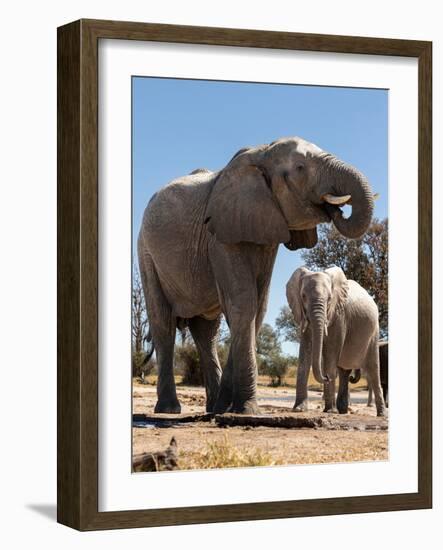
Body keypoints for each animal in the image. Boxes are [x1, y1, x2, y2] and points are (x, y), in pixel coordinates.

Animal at [138, 137, 374, 414]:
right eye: (301, 168)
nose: (336, 210)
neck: (261, 153)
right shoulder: (220, 234)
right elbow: (244, 303)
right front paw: (247, 410)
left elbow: (257, 307)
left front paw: (229, 408)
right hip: (146, 253)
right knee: (163, 323)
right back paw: (169, 409)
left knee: (206, 332)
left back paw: (212, 408)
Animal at [288, 268, 386, 418]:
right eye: (303, 296)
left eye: (329, 298)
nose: (327, 377)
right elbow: (305, 353)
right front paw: (299, 409)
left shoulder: (340, 316)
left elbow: (331, 353)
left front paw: (329, 411)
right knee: (344, 371)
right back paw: (343, 411)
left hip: (374, 332)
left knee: (373, 369)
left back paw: (381, 414)